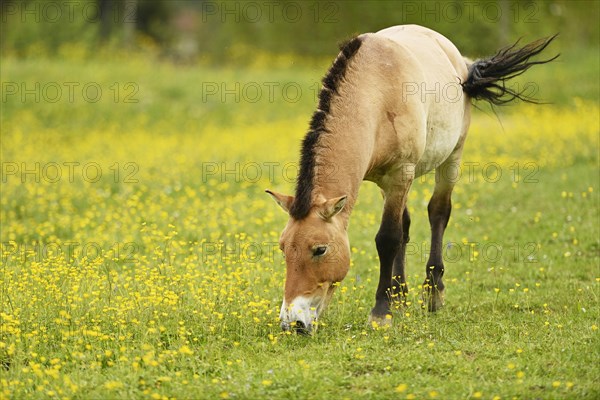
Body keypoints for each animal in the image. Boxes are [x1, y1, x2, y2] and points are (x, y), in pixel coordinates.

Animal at [268, 23, 556, 332]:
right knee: (406, 225)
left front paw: (381, 312)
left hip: (452, 157)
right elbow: (399, 233)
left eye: (320, 249)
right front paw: (394, 301)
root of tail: (461, 61)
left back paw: (432, 294)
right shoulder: (386, 180)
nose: (292, 322)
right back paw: (401, 296)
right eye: (283, 248)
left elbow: (387, 238)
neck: (375, 93)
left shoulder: (401, 172)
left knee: (438, 212)